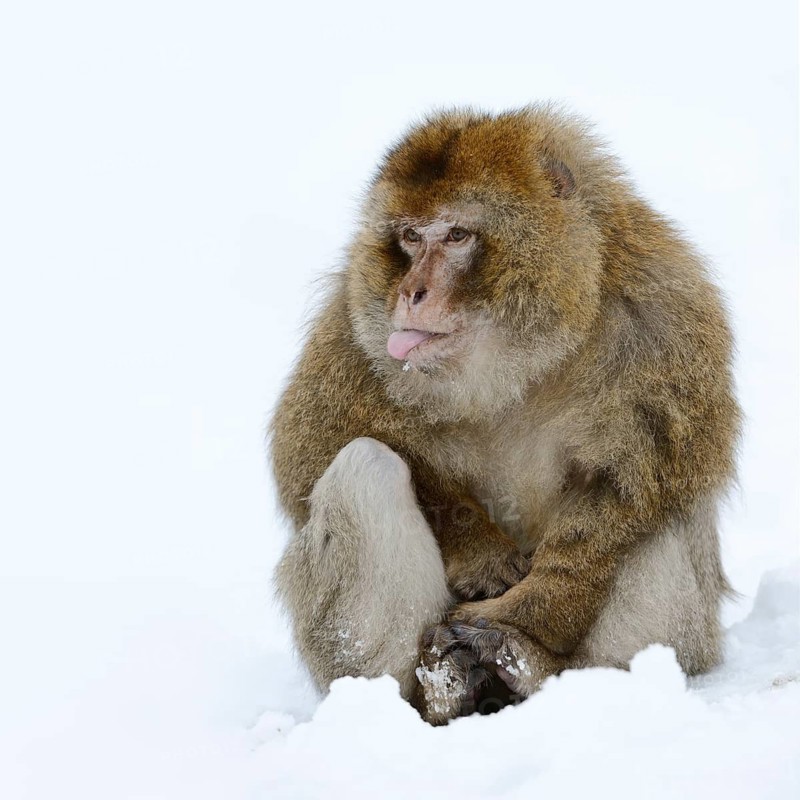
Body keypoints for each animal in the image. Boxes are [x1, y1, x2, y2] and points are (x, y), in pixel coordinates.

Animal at [270, 105, 740, 725]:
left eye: (457, 234)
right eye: (411, 236)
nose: (410, 291)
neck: (521, 353)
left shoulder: (664, 314)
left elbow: (643, 472)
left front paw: (526, 615)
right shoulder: (359, 325)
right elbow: (310, 447)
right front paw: (479, 551)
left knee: (671, 495)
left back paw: (531, 669)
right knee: (363, 466)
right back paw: (440, 691)